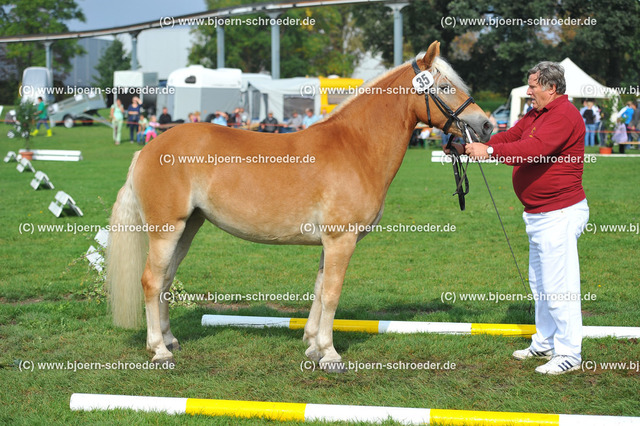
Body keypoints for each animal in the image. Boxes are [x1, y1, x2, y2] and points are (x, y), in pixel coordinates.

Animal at [107, 41, 492, 372]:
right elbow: (333, 294)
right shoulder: (341, 240)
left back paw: (169, 340)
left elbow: (320, 291)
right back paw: (159, 350)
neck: (356, 147)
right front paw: (331, 354)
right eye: (445, 87)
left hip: (187, 227)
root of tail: (149, 148)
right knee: (152, 281)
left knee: (166, 280)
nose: (486, 124)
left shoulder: (330, 243)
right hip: (166, 230)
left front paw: (313, 346)